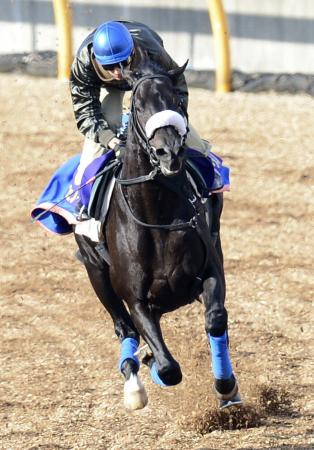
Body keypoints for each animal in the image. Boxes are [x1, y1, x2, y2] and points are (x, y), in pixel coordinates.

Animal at [75, 54, 242, 410]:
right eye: (138, 106)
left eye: (177, 101)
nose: (169, 152)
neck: (157, 216)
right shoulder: (135, 298)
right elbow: (169, 368)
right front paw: (152, 365)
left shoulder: (210, 269)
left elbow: (216, 319)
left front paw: (227, 388)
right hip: (95, 272)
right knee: (124, 328)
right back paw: (134, 382)